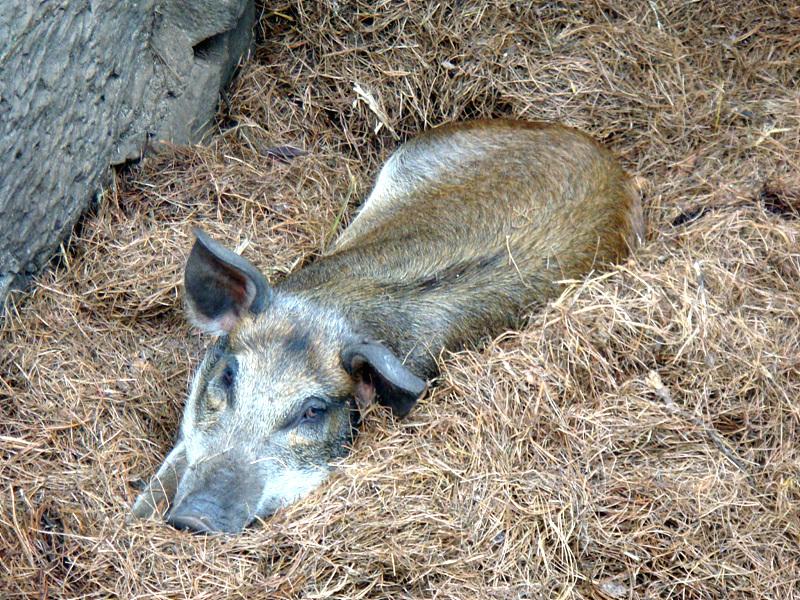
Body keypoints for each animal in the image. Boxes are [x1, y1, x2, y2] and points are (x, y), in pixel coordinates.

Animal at [131, 119, 644, 532]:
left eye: (313, 411)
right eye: (228, 375)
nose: (196, 519)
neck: (331, 308)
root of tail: (606, 156)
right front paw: (136, 515)